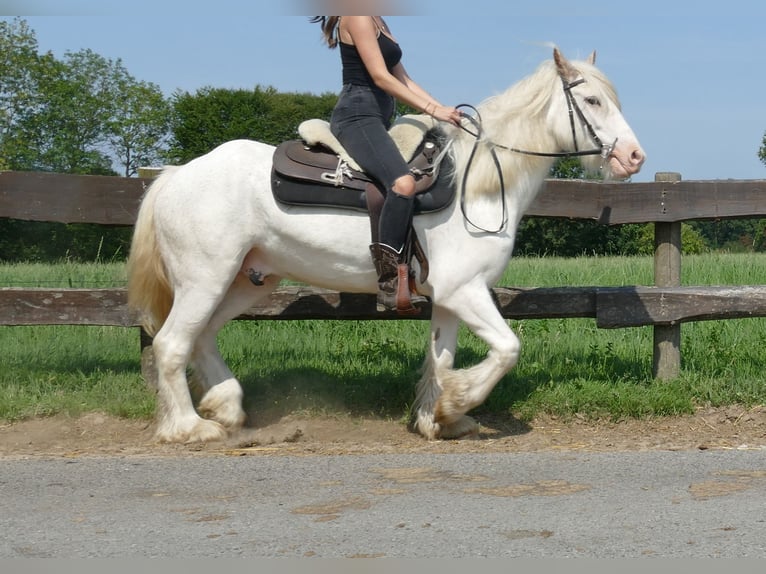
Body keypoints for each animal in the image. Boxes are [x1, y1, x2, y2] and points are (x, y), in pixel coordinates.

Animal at [127, 49, 648, 446]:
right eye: (592, 100)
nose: (634, 156)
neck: (475, 185)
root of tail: (176, 175)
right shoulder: (465, 291)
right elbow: (507, 349)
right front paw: (458, 399)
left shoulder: (450, 298)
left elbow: (441, 358)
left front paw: (439, 418)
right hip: (204, 280)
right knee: (172, 344)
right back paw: (189, 427)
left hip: (249, 280)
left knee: (203, 337)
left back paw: (227, 407)